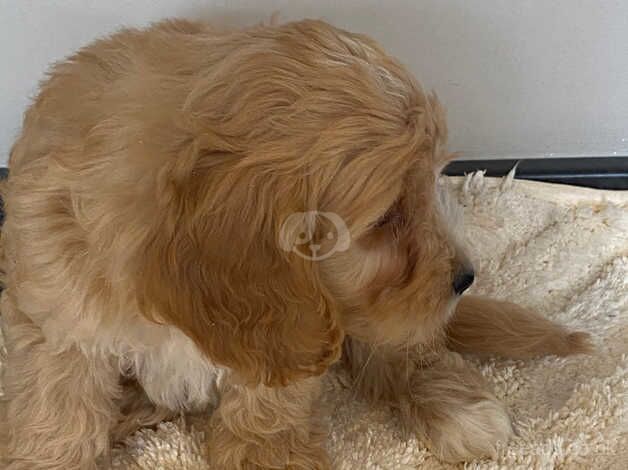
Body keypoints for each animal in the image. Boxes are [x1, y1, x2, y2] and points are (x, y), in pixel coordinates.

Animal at [1, 19, 588, 470]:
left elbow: (269, 410)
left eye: (429, 186)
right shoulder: (56, 320)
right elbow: (55, 413)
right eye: (386, 217)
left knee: (403, 351)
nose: (466, 277)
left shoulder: (293, 328)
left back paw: (459, 409)